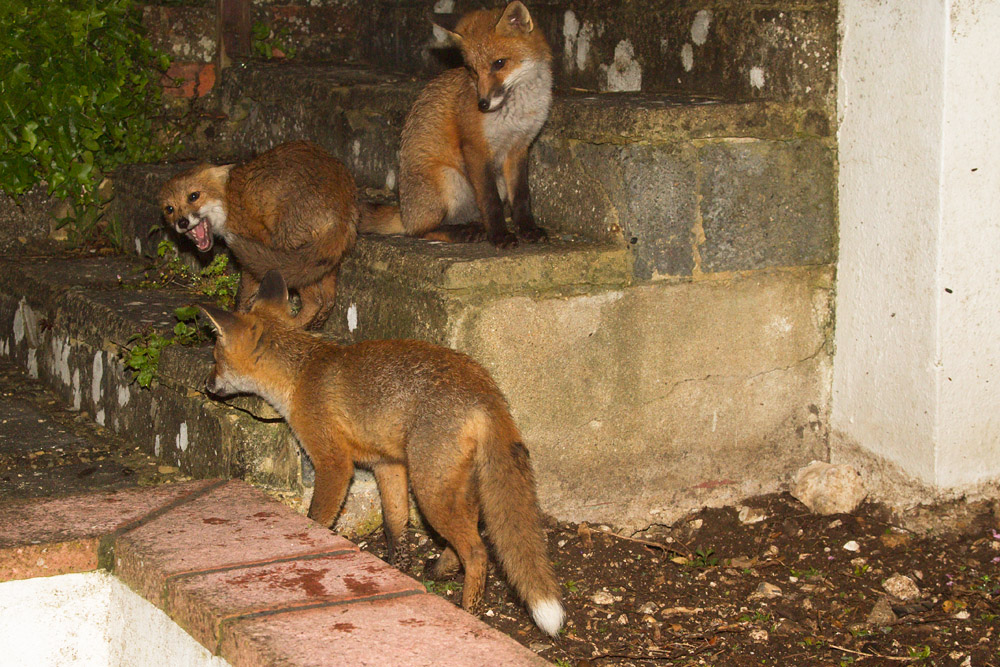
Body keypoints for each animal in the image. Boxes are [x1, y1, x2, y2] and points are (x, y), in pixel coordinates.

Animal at [159, 141, 358, 330]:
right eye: (170, 209)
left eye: (194, 196)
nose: (182, 223)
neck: (228, 200)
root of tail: (341, 207)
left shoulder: (253, 241)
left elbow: (243, 295)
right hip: (324, 261)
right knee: (329, 301)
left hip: (291, 252)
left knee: (315, 301)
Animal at [199, 270, 566, 636]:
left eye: (215, 359)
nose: (206, 385)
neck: (300, 374)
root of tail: (485, 386)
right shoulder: (387, 464)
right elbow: (395, 525)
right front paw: (393, 567)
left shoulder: (333, 462)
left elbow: (318, 517)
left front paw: (312, 542)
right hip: (448, 482)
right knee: (472, 524)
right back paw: (441, 569)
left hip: (429, 490)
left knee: (477, 550)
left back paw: (470, 609)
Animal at [360, 1, 552, 248]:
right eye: (472, 70)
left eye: (499, 63)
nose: (483, 104)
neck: (517, 111)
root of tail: (404, 212)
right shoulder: (475, 147)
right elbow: (490, 202)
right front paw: (499, 235)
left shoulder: (519, 147)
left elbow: (521, 197)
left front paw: (528, 229)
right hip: (449, 178)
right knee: (420, 230)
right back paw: (463, 232)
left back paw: (473, 227)